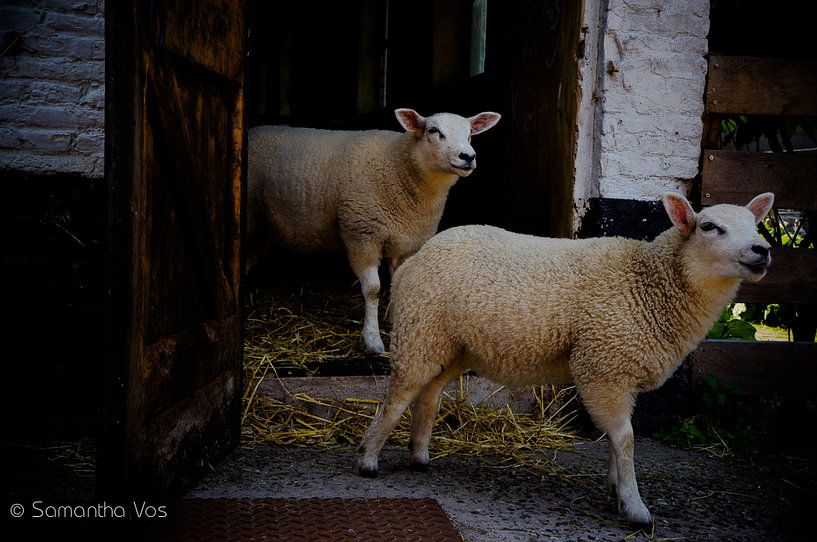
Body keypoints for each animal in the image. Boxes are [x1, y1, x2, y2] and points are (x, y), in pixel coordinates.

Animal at [247, 109, 501, 354]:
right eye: (433, 130)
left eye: (470, 134)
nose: (468, 156)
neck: (400, 167)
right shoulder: (362, 234)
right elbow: (373, 289)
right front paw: (372, 339)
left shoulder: (405, 242)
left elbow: (399, 284)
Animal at [357, 192, 775, 526]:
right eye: (709, 227)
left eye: (757, 225)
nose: (762, 250)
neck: (650, 284)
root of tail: (415, 259)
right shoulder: (603, 367)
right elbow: (625, 438)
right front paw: (635, 507)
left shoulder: (620, 372)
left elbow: (617, 440)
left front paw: (617, 490)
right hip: (420, 329)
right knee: (399, 395)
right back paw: (368, 459)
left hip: (453, 344)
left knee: (429, 392)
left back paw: (419, 456)